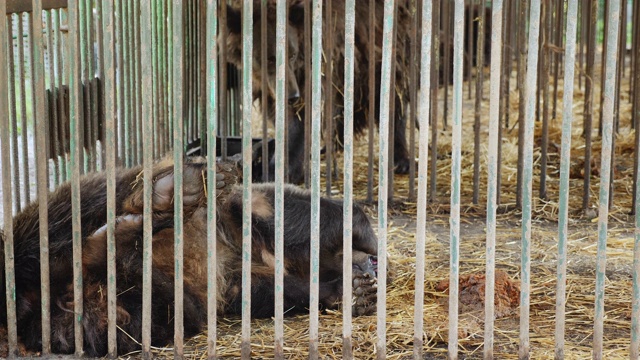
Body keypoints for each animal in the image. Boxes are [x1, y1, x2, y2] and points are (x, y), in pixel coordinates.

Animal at [0, 156, 380, 356]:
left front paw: (354, 291)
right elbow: (284, 212)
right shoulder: (245, 220)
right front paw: (364, 240)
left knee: (142, 314)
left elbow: (269, 291)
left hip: (112, 307)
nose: (368, 265)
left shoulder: (235, 278)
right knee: (71, 207)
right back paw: (164, 195)